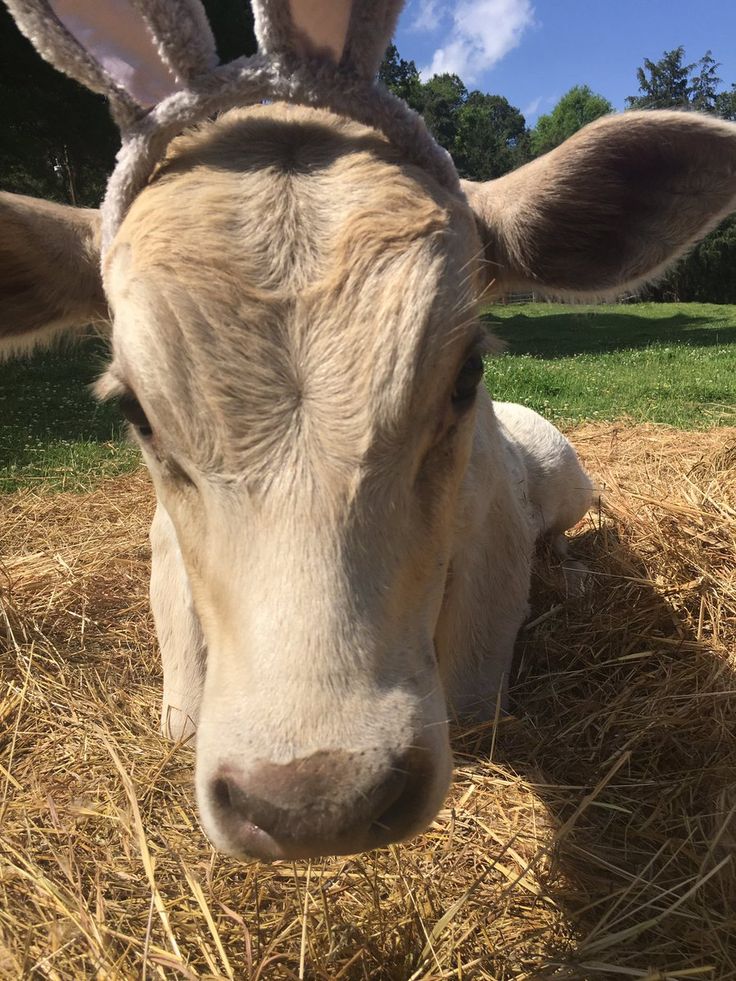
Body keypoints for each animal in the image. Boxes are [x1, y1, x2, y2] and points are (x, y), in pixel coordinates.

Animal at [1, 0, 736, 856]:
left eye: (465, 373)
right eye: (134, 410)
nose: (317, 800)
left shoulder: (488, 581)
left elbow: (479, 695)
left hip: (566, 478)